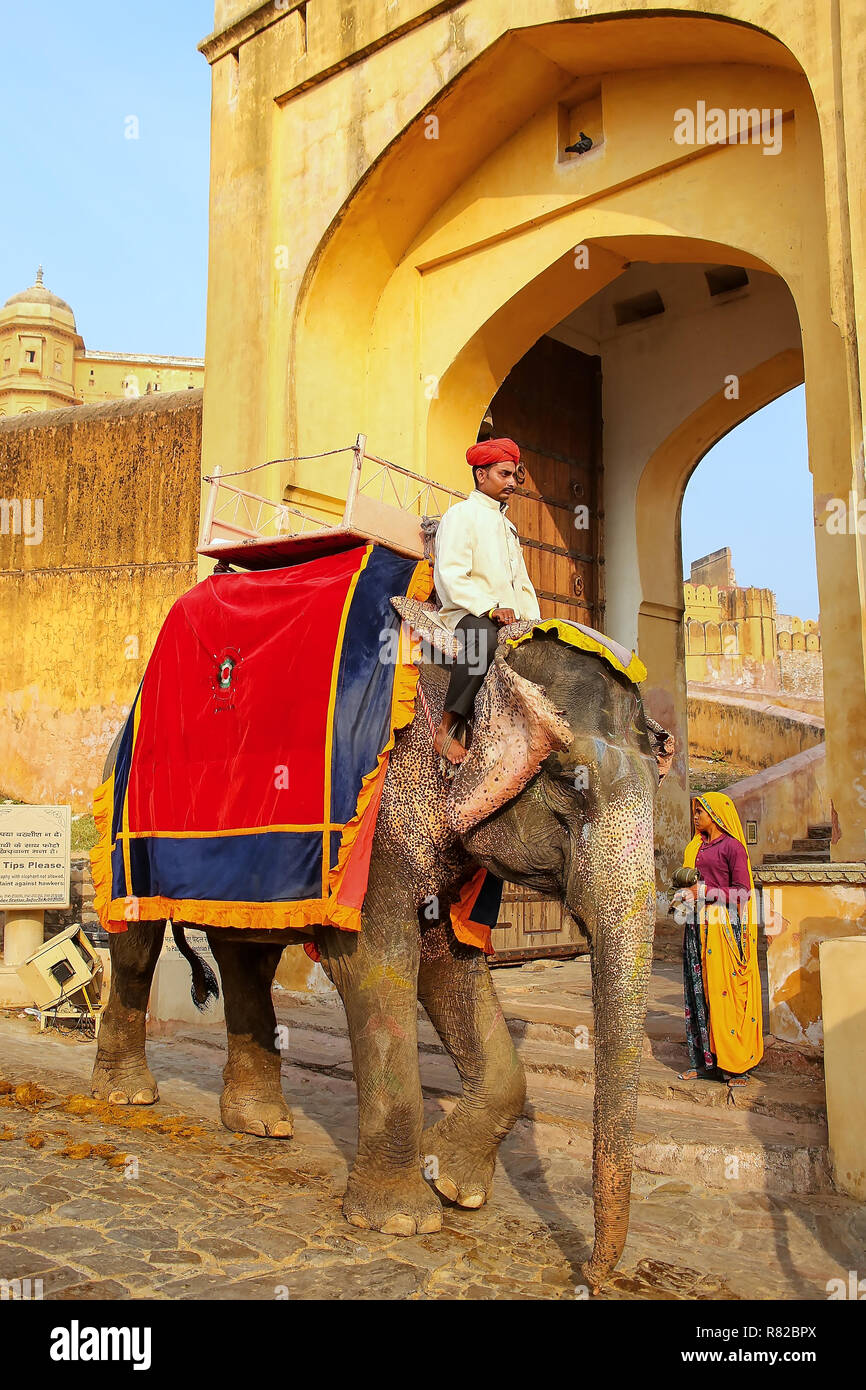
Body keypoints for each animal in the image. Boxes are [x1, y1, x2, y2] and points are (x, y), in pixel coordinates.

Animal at [89, 605, 672, 1287]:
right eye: (565, 783)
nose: (595, 1273)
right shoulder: (379, 821)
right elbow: (378, 964)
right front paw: (402, 1221)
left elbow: (450, 969)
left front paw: (452, 1186)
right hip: (126, 820)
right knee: (137, 940)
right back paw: (127, 1096)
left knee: (247, 953)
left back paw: (261, 1125)